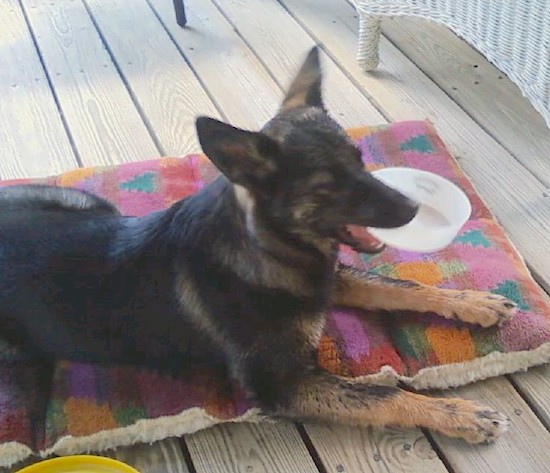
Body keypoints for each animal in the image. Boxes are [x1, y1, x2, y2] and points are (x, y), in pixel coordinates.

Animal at [0, 48, 516, 442]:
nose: (413, 208)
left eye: (360, 160)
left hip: (89, 204)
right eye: (329, 187)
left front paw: (473, 302)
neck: (262, 247)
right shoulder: (282, 383)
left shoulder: (328, 279)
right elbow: (382, 394)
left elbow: (400, 287)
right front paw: (459, 414)